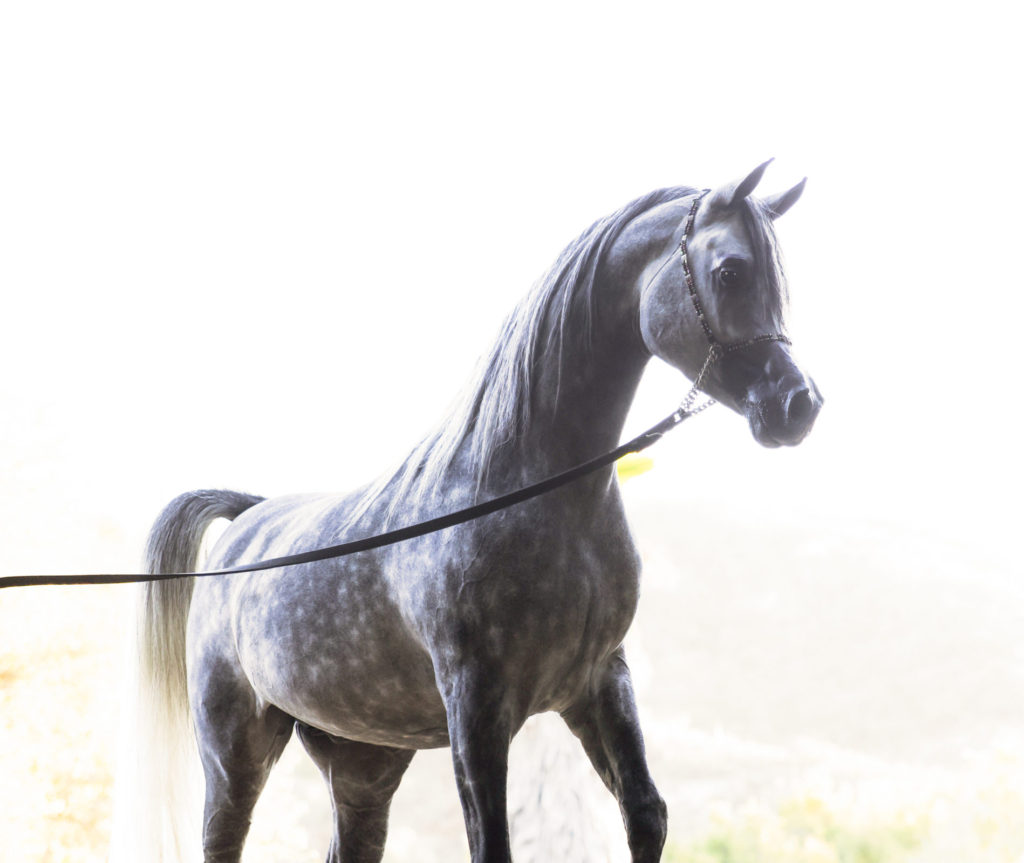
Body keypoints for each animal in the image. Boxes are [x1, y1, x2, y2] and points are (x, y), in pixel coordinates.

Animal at [134, 160, 823, 855]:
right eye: (730, 271)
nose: (798, 405)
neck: (528, 491)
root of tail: (247, 518)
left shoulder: (599, 683)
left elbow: (646, 813)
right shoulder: (478, 704)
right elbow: (492, 841)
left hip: (364, 762)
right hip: (234, 752)